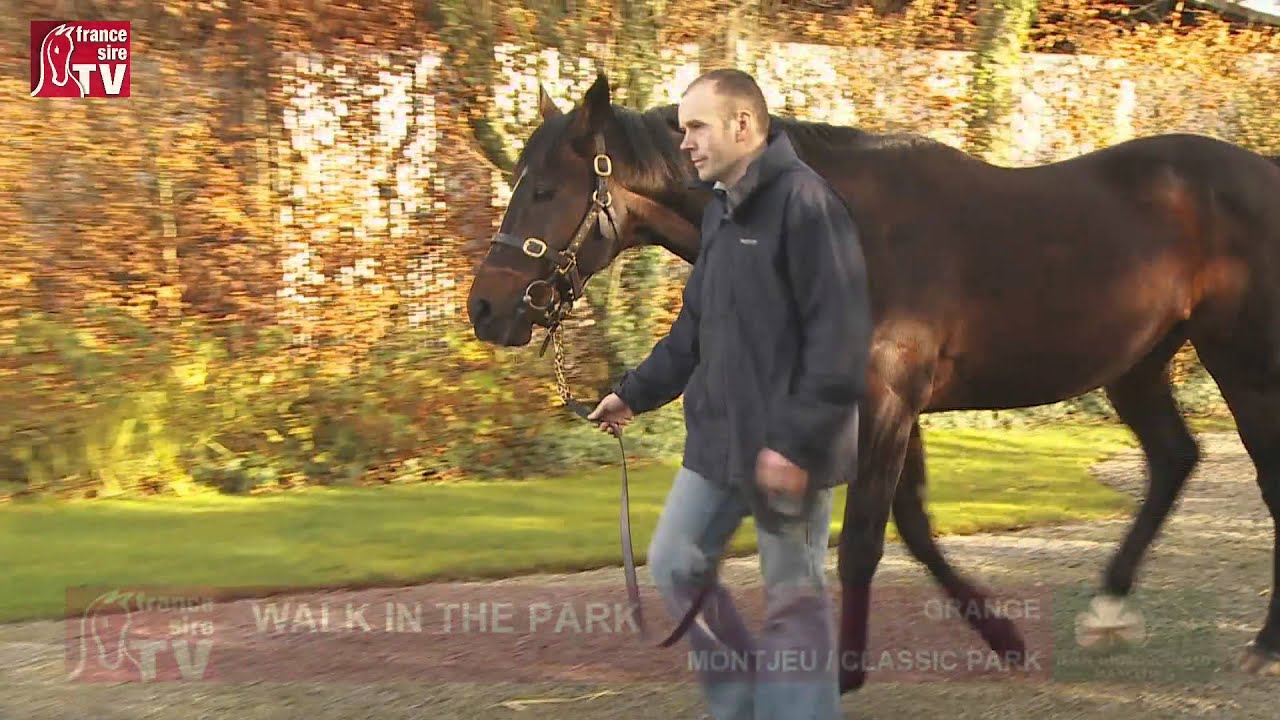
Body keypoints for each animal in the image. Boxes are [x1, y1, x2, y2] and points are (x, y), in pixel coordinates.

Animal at [465, 72, 1280, 690]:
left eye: (545, 189)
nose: (486, 308)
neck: (850, 222)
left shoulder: (885, 398)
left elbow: (863, 537)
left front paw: (845, 672)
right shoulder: (885, 406)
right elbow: (912, 524)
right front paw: (1004, 637)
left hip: (1244, 362)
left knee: (1261, 481)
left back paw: (1262, 645)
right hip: (1139, 364)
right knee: (1174, 460)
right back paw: (1109, 609)